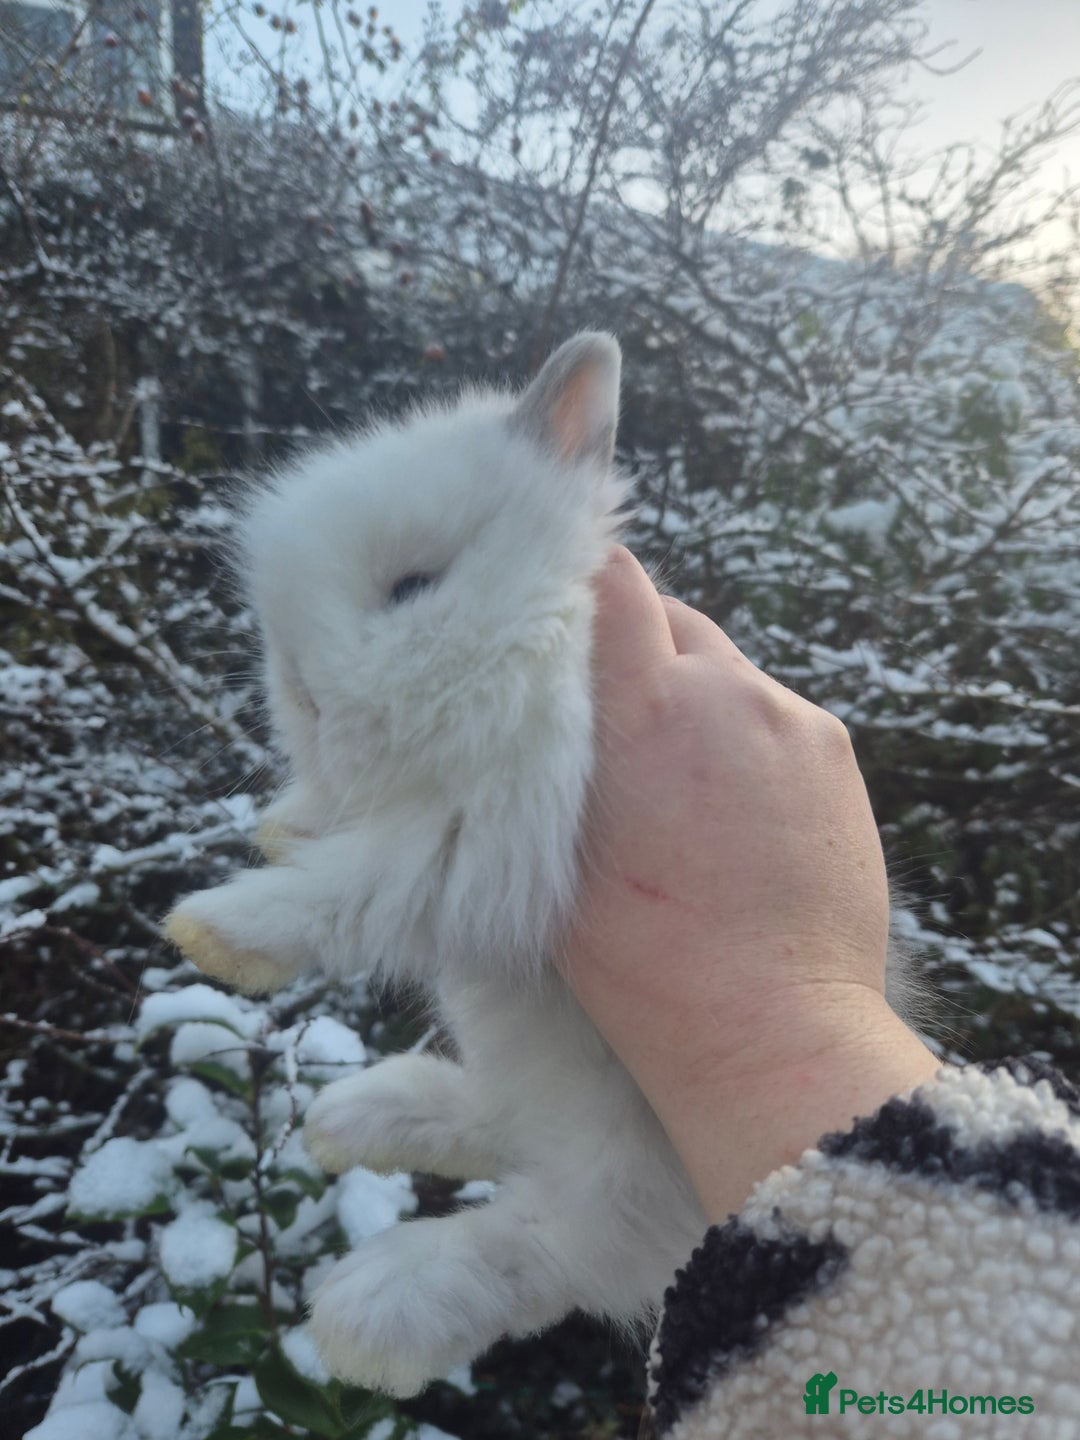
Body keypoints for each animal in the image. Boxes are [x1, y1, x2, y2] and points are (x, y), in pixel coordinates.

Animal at [163, 333, 914, 1397]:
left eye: (412, 589)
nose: (301, 697)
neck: (527, 637)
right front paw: (286, 824)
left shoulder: (482, 837)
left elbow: (349, 891)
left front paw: (216, 931)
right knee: (503, 1123)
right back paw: (361, 1117)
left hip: (625, 1169)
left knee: (550, 1248)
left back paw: (372, 1312)